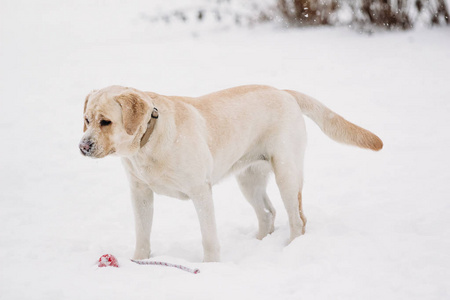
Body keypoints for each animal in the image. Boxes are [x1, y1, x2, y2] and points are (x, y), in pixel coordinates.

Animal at [79, 85, 382, 262]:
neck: (148, 142)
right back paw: (258, 243)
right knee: (267, 213)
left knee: (298, 219)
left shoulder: (201, 192)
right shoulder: (140, 193)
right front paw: (139, 262)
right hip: (248, 179)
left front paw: (210, 267)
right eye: (87, 120)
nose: (83, 146)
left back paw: (289, 250)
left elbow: (209, 238)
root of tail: (284, 91)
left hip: (287, 173)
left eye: (106, 122)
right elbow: (142, 235)